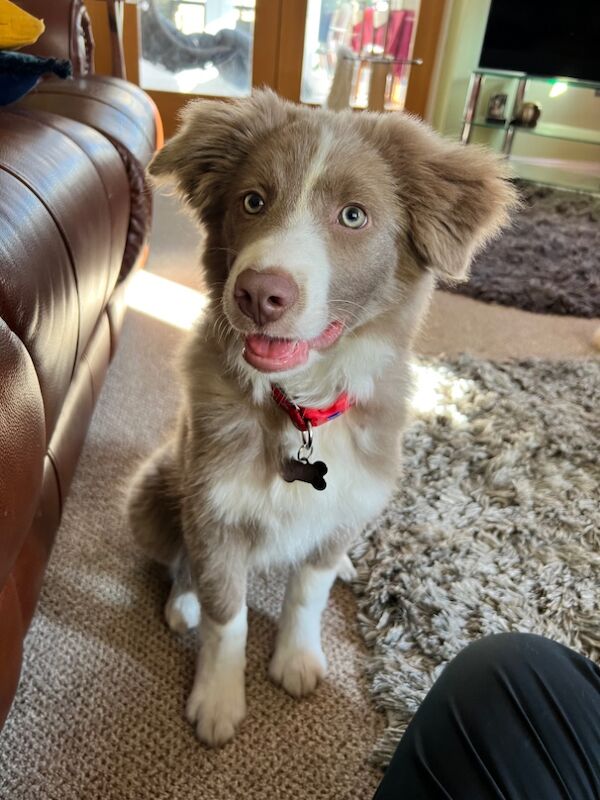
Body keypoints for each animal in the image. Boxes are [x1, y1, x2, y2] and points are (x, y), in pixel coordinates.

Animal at [127, 90, 516, 748]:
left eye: (353, 216)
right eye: (253, 201)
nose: (260, 294)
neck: (300, 405)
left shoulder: (347, 502)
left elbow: (308, 590)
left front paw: (297, 659)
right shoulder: (211, 509)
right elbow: (226, 612)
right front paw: (218, 699)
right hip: (155, 492)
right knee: (182, 562)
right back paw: (182, 602)